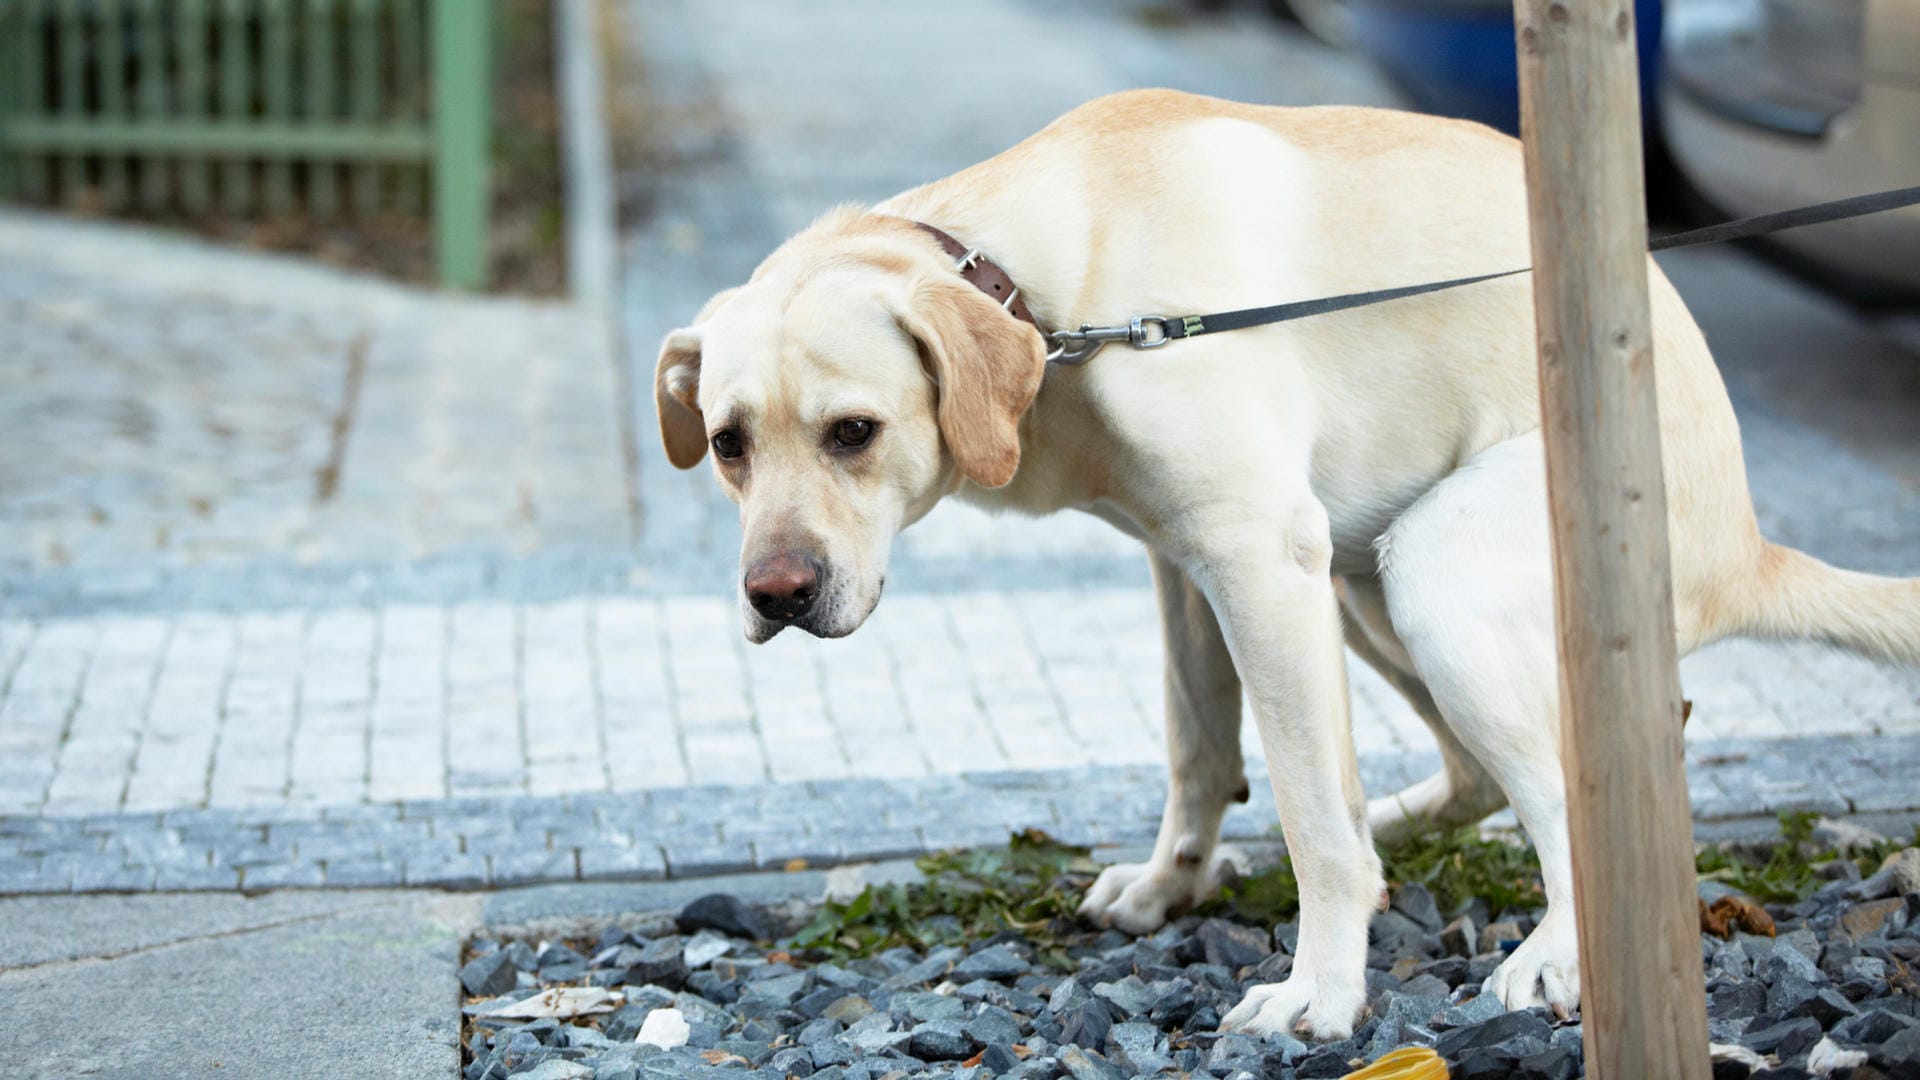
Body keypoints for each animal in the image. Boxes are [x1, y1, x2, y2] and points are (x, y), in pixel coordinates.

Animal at [648, 90, 1920, 1037]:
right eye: (727, 444)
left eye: (854, 432)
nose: (775, 595)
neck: (1053, 298)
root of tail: (1748, 545)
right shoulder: (1188, 567)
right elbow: (1200, 748)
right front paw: (1174, 882)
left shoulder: (1256, 558)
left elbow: (1310, 814)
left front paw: (1321, 988)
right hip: (1362, 587)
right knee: (1490, 772)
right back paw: (1402, 825)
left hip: (1433, 572)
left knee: (1569, 792)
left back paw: (1554, 953)